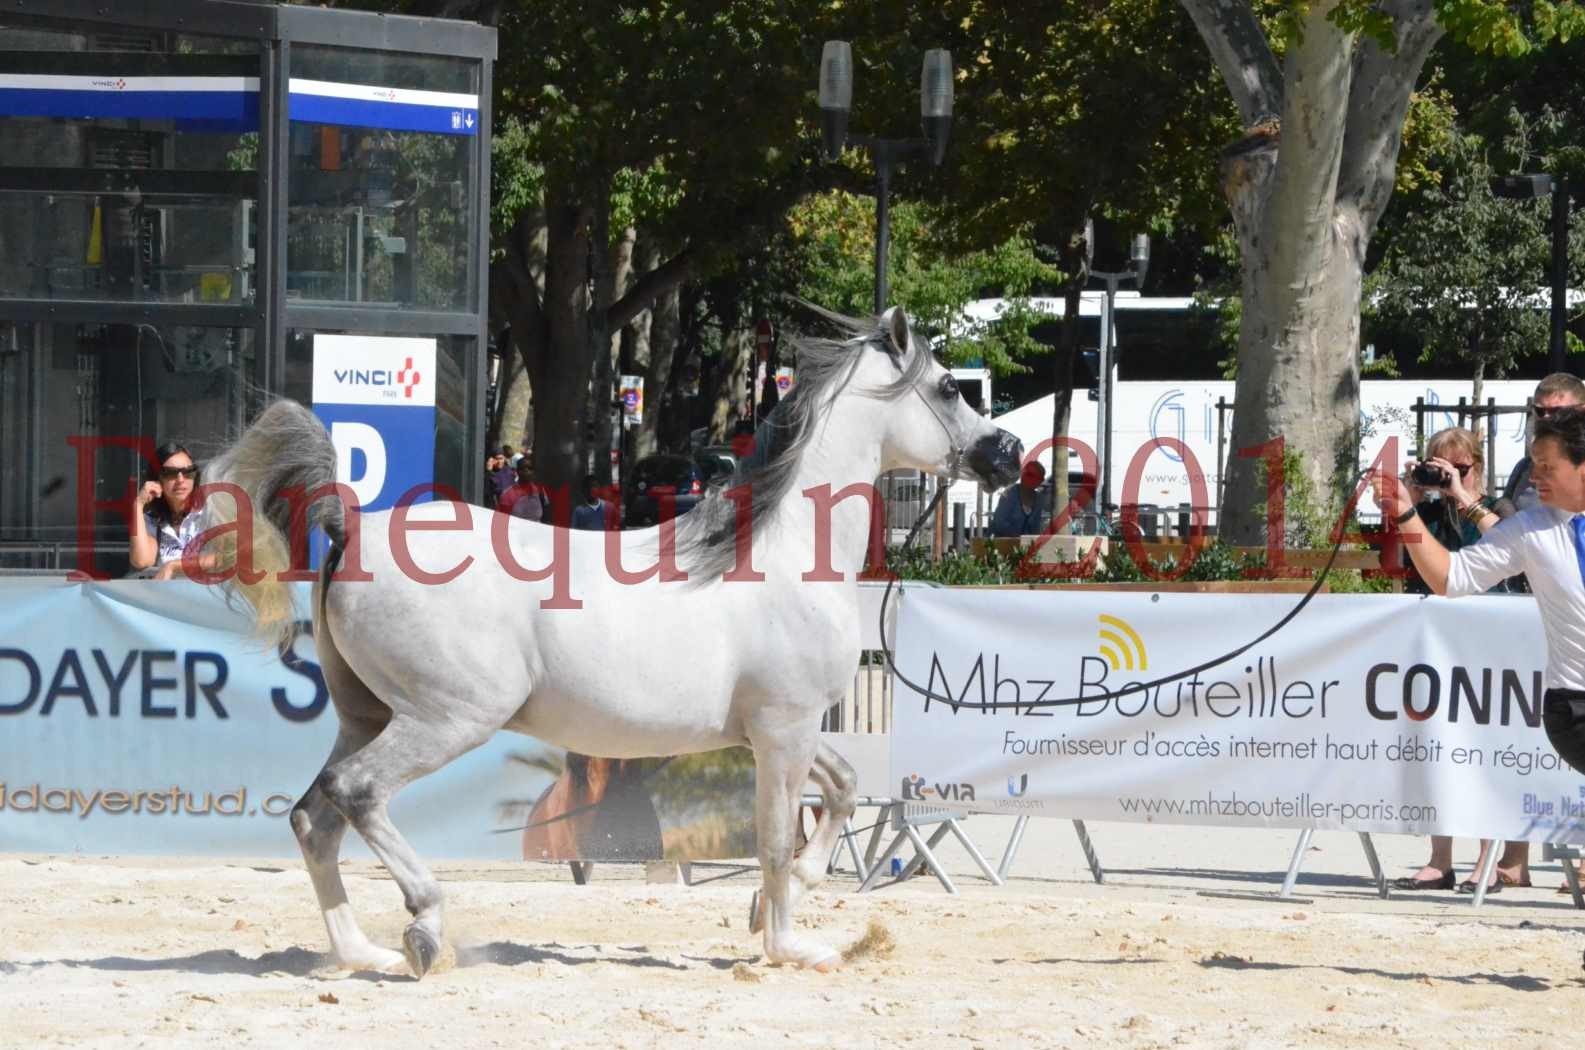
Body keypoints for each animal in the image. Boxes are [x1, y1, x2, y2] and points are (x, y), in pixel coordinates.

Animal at [198, 309, 1020, 983]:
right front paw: (792, 945)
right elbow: (775, 837)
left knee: (313, 819)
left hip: (365, 715)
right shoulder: (783, 728)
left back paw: (358, 953)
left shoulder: (773, 729)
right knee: (358, 794)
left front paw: (786, 900)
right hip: (448, 718)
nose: (1007, 455)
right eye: (950, 388)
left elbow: (844, 787)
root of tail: (356, 527)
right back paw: (425, 928)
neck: (782, 555)